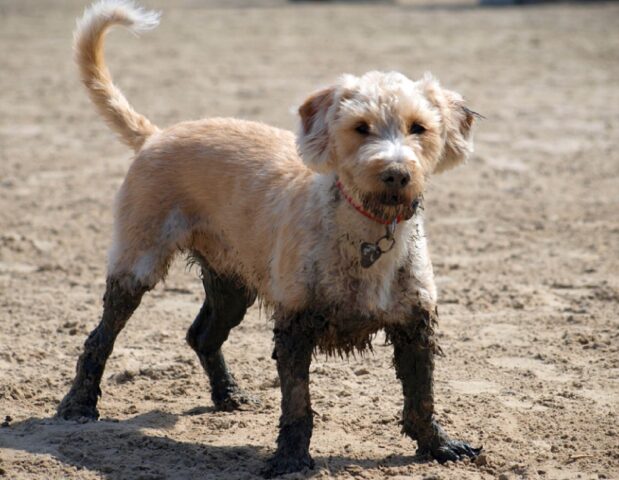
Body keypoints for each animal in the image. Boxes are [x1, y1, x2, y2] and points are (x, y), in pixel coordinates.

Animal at [58, 0, 482, 476]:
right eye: (361, 127)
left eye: (418, 128)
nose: (395, 173)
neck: (367, 233)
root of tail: (155, 135)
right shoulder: (295, 326)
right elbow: (298, 406)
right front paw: (291, 458)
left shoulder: (415, 324)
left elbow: (421, 398)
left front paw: (439, 446)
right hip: (137, 263)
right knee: (100, 338)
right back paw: (78, 405)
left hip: (231, 283)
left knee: (202, 335)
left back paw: (228, 395)